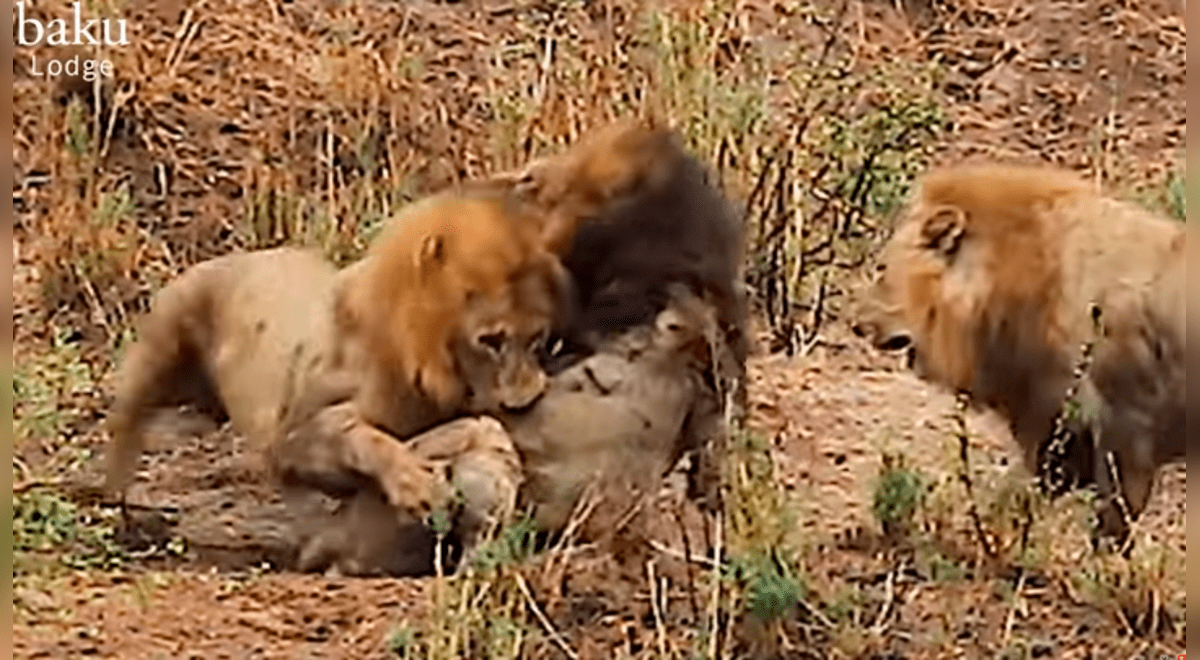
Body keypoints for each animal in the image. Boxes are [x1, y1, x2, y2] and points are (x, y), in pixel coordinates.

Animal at [103, 186, 571, 564]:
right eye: (490, 340)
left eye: (538, 337)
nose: (525, 403)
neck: (422, 365)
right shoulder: (290, 440)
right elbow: (360, 437)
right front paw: (418, 490)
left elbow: (472, 429)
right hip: (157, 347)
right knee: (123, 426)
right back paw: (117, 508)